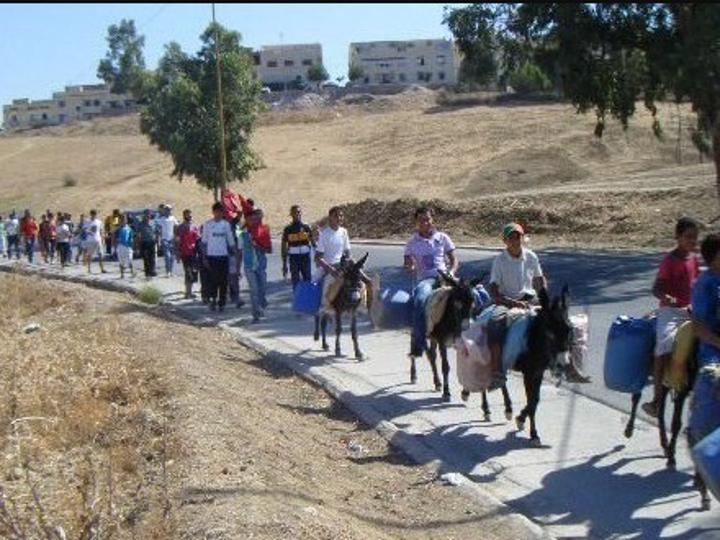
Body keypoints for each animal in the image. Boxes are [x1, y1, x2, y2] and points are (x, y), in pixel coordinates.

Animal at [410, 271, 475, 402]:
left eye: (472, 301)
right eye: (456, 301)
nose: (466, 327)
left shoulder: (459, 341)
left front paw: (465, 392)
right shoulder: (442, 342)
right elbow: (445, 366)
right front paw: (447, 393)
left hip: (433, 338)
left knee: (432, 355)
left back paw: (437, 383)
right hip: (416, 329)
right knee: (417, 349)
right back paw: (414, 375)